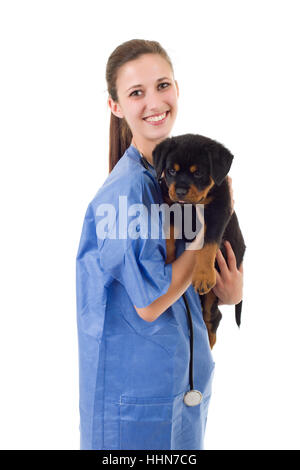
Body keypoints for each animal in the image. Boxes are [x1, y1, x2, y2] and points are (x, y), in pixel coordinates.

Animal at [152, 134, 246, 346]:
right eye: (171, 171)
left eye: (198, 173)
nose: (180, 191)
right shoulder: (170, 204)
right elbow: (169, 234)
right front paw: (168, 260)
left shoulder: (219, 210)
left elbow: (208, 244)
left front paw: (203, 275)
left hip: (212, 293)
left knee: (212, 316)